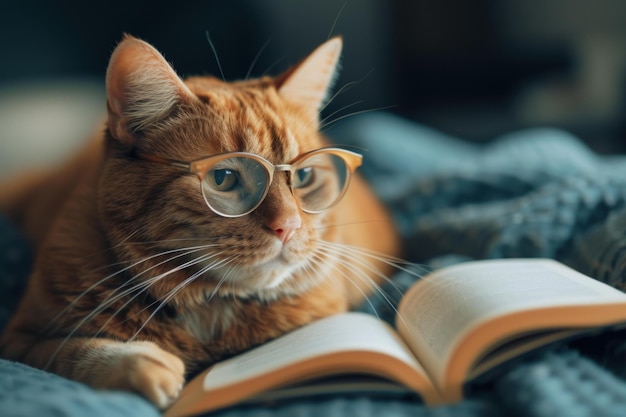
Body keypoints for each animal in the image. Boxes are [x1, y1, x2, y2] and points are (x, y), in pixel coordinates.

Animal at [0, 35, 400, 406]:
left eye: (303, 177)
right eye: (223, 178)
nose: (288, 227)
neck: (209, 310)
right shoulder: (19, 340)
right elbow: (70, 352)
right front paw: (138, 363)